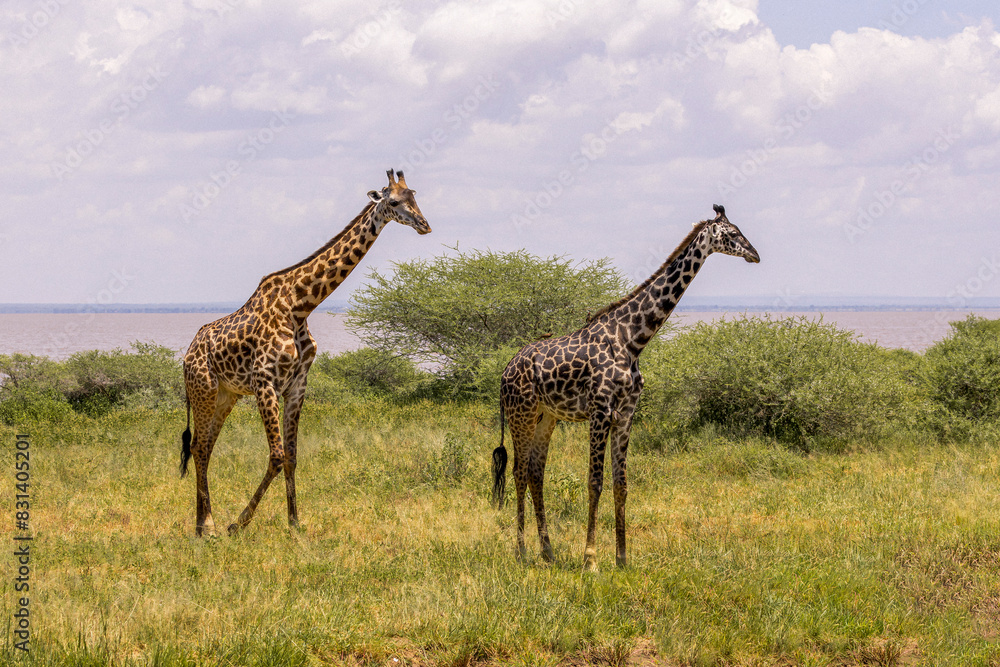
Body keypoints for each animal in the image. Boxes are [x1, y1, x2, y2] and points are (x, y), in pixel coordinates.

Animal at [180, 169, 430, 537]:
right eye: (395, 201)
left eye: (415, 196)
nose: (425, 225)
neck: (300, 305)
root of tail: (187, 355)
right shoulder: (265, 383)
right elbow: (277, 456)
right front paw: (238, 523)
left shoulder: (297, 385)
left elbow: (293, 457)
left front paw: (295, 523)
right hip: (204, 391)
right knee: (198, 447)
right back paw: (207, 525)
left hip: (226, 396)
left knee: (205, 446)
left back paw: (202, 523)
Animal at [492, 205, 759, 570]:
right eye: (732, 234)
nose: (755, 255)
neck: (632, 341)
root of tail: (505, 371)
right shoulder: (600, 411)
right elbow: (595, 483)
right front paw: (590, 560)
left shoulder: (626, 413)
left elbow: (621, 485)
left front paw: (621, 558)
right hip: (522, 414)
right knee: (518, 472)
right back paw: (521, 552)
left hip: (548, 417)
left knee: (535, 473)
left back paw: (548, 552)